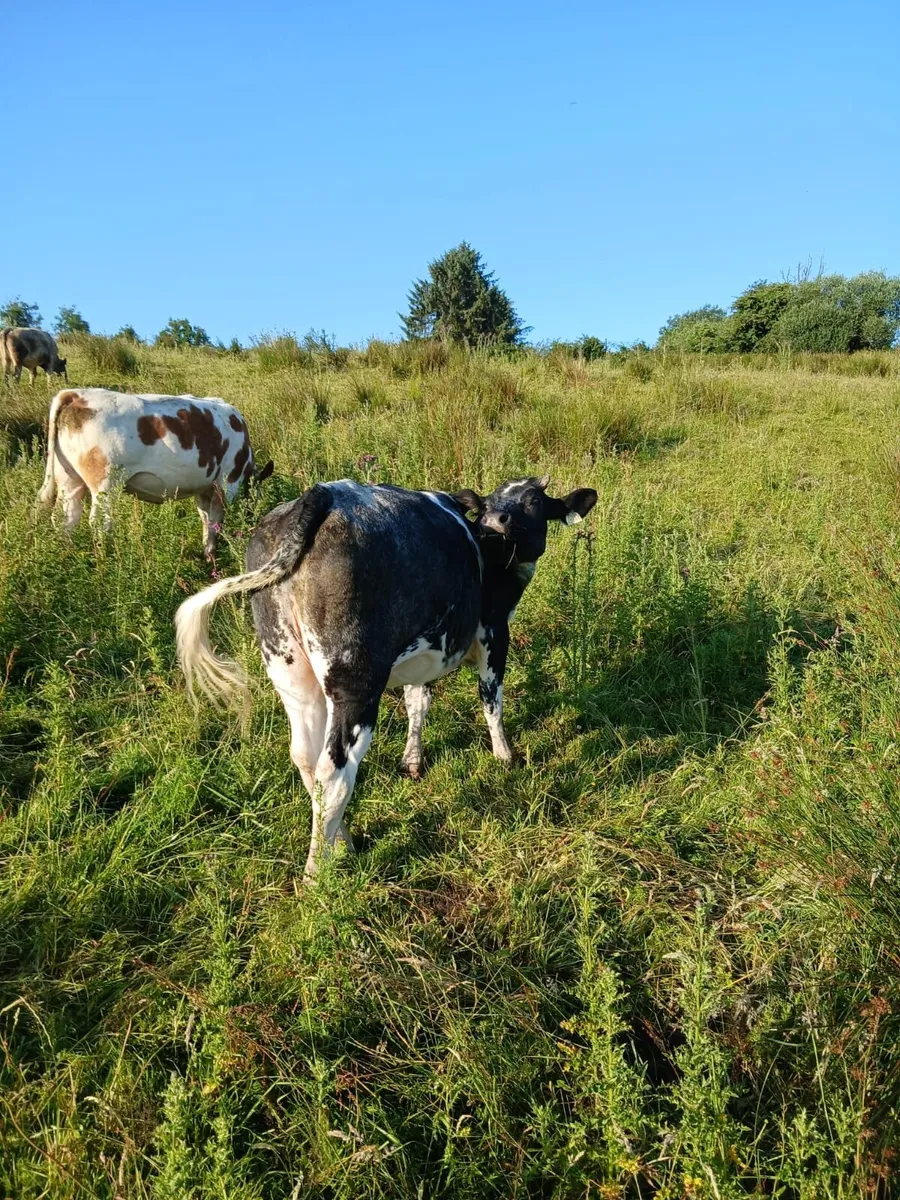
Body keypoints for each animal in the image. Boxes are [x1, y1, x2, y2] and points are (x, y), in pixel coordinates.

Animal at [37, 388, 273, 558]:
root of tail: (78, 394)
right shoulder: (228, 483)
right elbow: (216, 521)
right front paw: (212, 555)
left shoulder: (203, 489)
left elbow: (206, 519)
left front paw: (207, 553)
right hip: (105, 484)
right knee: (99, 523)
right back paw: (104, 563)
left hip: (69, 480)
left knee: (66, 519)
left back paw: (68, 558)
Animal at [175, 475, 597, 879]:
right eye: (497, 503)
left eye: (532, 501)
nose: (497, 521)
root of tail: (321, 494)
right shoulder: (494, 632)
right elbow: (491, 700)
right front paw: (505, 757)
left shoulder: (426, 651)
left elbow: (417, 701)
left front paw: (412, 761)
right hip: (355, 682)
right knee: (333, 771)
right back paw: (315, 874)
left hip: (288, 668)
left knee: (306, 758)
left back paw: (340, 840)